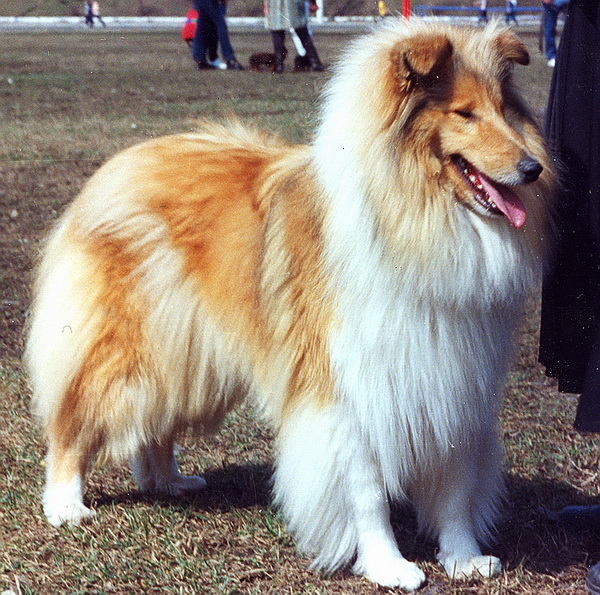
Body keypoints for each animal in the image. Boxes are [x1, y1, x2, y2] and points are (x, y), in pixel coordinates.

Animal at [28, 18, 552, 592]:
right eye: (464, 113)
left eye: (505, 109)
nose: (532, 169)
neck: (415, 217)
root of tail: (121, 163)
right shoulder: (346, 386)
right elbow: (366, 491)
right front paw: (388, 565)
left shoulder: (457, 381)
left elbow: (456, 485)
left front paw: (464, 559)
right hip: (129, 353)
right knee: (73, 421)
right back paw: (66, 504)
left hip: (187, 357)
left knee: (155, 424)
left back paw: (168, 480)